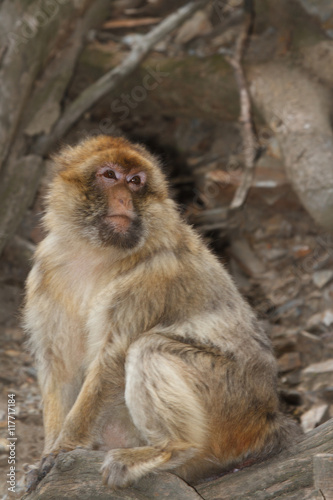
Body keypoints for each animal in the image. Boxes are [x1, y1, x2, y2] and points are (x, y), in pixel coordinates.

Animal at [23, 135, 298, 490]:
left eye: (135, 181)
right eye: (109, 175)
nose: (124, 198)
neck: (97, 252)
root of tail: (270, 419)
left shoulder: (153, 274)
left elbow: (111, 361)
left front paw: (63, 448)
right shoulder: (46, 273)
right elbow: (59, 365)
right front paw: (48, 453)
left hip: (233, 403)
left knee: (149, 348)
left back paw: (172, 449)